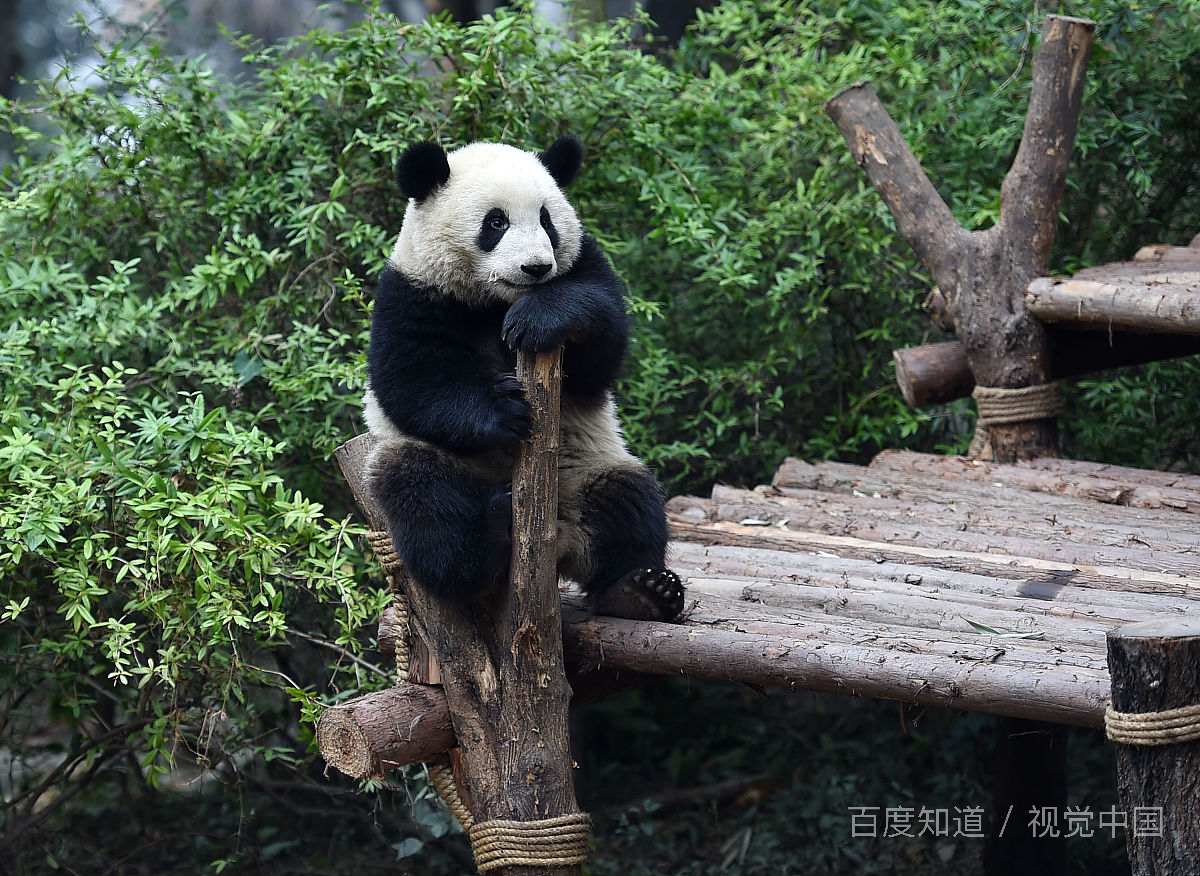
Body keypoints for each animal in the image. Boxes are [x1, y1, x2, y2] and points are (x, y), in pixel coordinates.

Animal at [360, 133, 686, 619]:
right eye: (495, 223)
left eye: (547, 221)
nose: (536, 268)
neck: (493, 301)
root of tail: (559, 545)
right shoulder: (412, 290)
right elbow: (411, 378)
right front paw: (504, 411)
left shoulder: (583, 262)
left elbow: (602, 343)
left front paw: (536, 319)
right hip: (433, 464)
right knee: (425, 499)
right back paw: (485, 544)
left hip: (587, 468)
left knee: (627, 502)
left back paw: (640, 591)